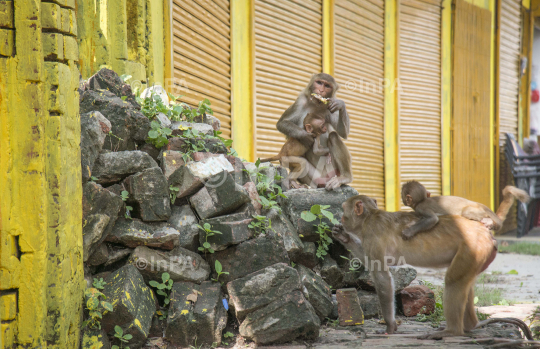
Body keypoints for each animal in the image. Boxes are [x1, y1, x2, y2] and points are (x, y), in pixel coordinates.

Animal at [334, 194, 532, 338]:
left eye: (343, 210)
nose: (341, 218)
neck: (369, 218)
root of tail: (487, 235)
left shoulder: (373, 236)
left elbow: (382, 276)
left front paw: (390, 326)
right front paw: (344, 237)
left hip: (474, 248)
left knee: (453, 281)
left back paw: (453, 331)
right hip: (481, 256)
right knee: (466, 284)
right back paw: (470, 326)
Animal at [400, 179, 528, 239]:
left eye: (402, 194)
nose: (402, 198)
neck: (422, 200)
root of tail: (479, 204)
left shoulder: (420, 208)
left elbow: (433, 219)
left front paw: (409, 231)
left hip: (475, 209)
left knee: (466, 212)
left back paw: (488, 221)